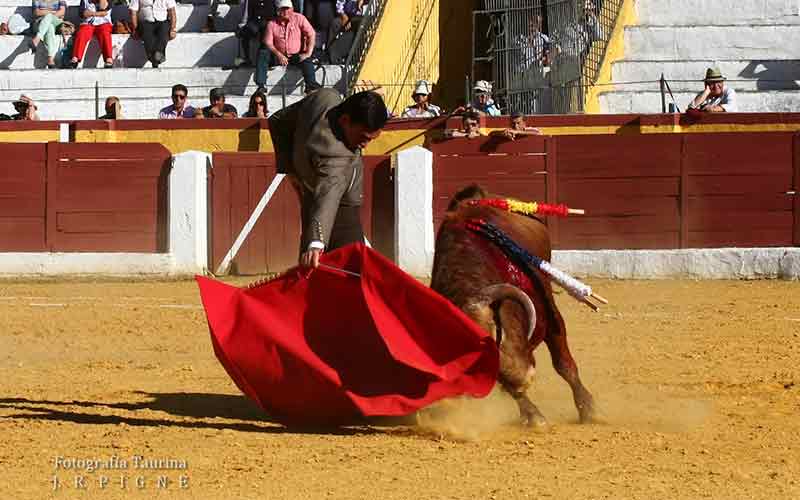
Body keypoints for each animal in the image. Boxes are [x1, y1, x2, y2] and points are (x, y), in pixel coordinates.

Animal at [432, 186, 592, 428]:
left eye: (491, 331)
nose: (524, 377)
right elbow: (507, 386)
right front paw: (533, 416)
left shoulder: (549, 314)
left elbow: (563, 363)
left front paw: (587, 408)